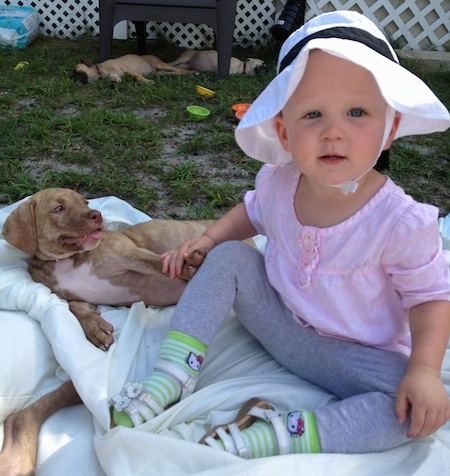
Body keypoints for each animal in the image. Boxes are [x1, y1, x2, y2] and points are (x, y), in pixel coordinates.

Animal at [2, 189, 215, 350]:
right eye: (58, 208)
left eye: (86, 202)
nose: (97, 215)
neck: (66, 259)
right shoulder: (74, 296)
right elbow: (75, 307)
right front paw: (94, 327)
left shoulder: (131, 254)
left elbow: (158, 262)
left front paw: (186, 266)